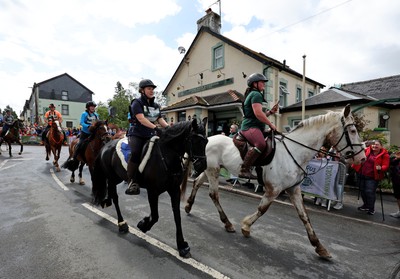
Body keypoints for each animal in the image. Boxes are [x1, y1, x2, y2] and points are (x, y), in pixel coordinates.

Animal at [92, 118, 208, 258]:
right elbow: (155, 216)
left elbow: (177, 216)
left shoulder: (174, 190)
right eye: (194, 140)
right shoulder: (153, 192)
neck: (166, 156)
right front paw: (144, 224)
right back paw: (122, 223)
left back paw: (106, 202)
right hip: (112, 177)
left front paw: (182, 245)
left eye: (206, 141)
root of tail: (106, 145)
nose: (202, 166)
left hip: (117, 178)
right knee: (115, 197)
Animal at [184, 105, 366, 260]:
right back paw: (227, 223)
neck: (294, 151)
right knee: (213, 194)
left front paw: (319, 247)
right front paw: (246, 226)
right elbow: (262, 209)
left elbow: (304, 216)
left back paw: (188, 206)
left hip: (208, 170)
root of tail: (209, 138)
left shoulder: (293, 189)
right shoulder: (274, 190)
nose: (362, 158)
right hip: (213, 171)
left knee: (197, 183)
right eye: (352, 130)